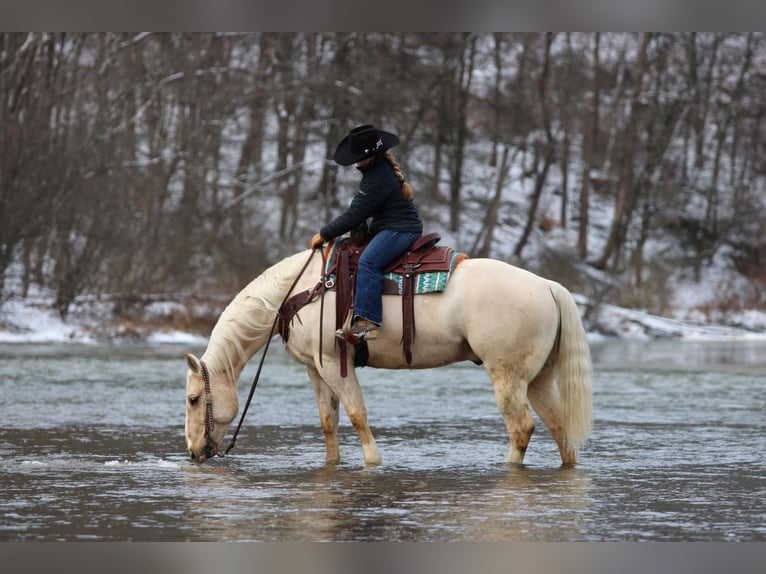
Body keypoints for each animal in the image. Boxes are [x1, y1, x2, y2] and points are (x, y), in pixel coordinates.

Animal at [184, 247, 592, 467]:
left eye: (193, 399)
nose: (193, 453)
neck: (302, 289)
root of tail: (547, 286)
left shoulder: (334, 363)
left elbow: (357, 415)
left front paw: (373, 462)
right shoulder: (316, 369)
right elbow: (328, 422)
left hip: (507, 376)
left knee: (521, 427)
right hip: (538, 379)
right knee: (560, 429)